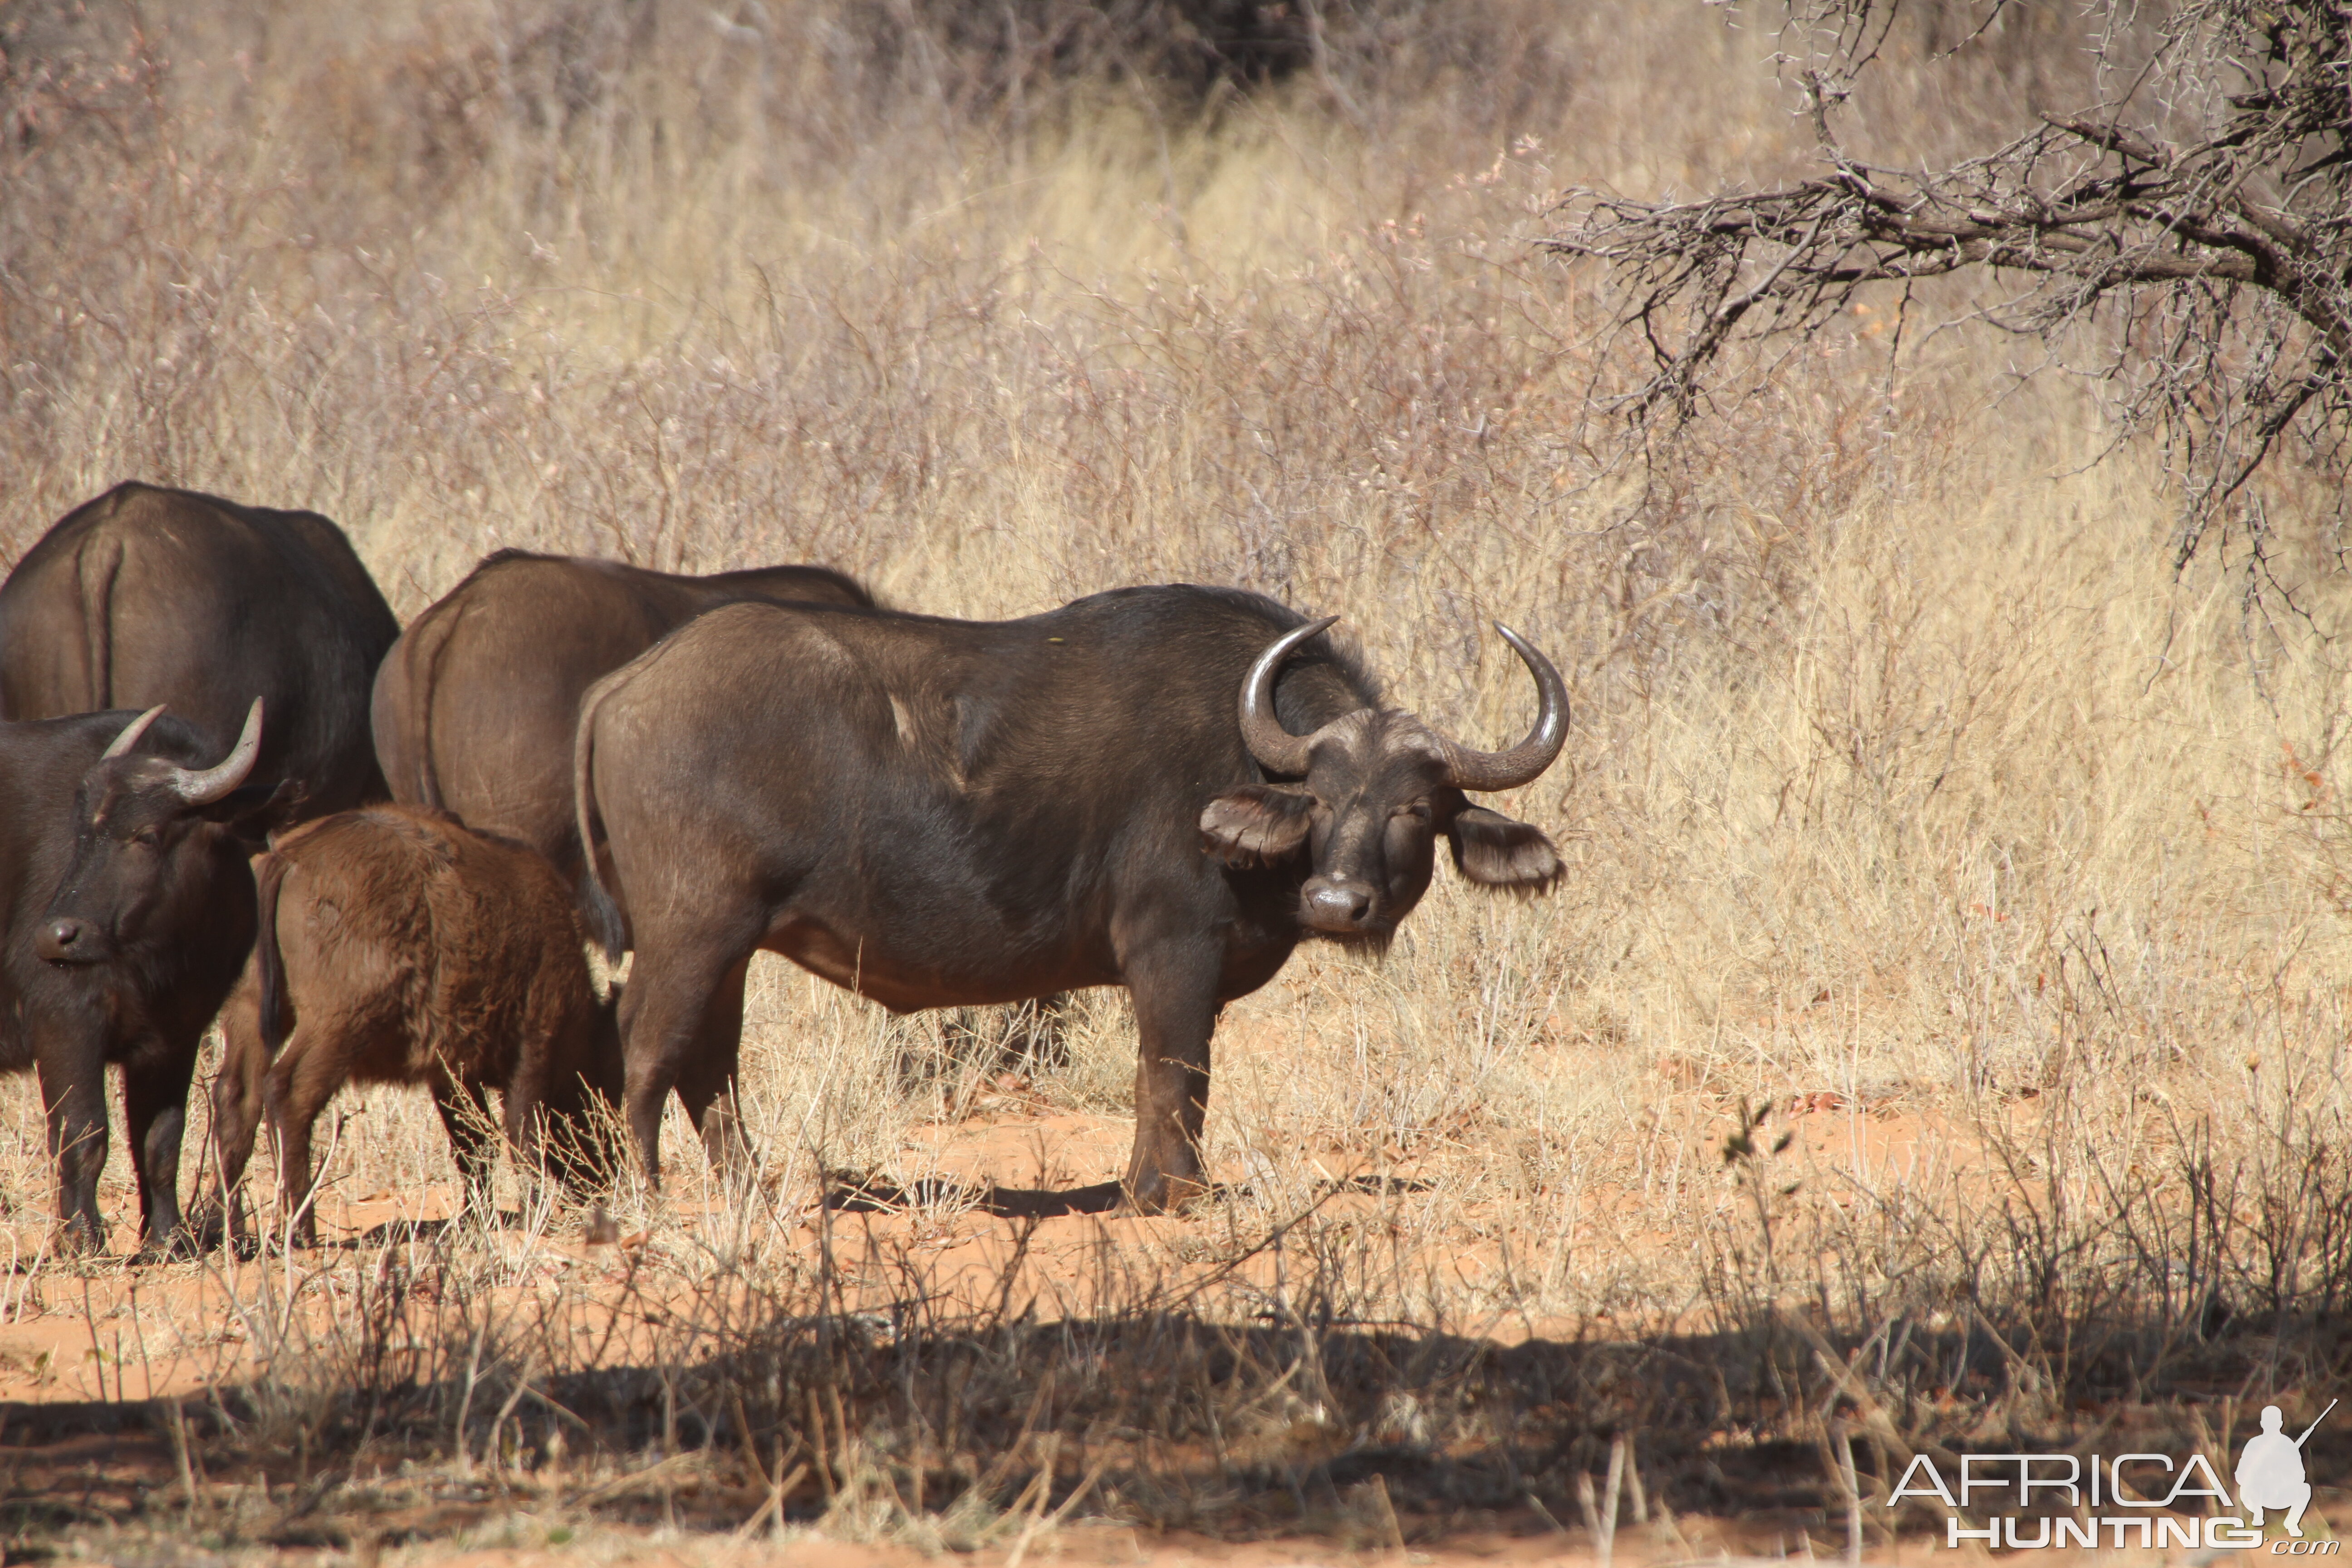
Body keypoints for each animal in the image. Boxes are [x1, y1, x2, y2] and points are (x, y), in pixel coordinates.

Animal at [3, 705, 279, 1260]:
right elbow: (83, 1132)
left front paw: (168, 1238)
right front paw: (82, 1237)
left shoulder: (176, 1035)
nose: (55, 937)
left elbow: (161, 1140)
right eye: (81, 836)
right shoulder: (64, 1023)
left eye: (146, 835)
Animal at [202, 808, 621, 1250]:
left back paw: (225, 1228)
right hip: (340, 1027)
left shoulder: (451, 1074)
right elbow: (523, 1137)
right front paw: (533, 1211)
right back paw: (299, 1230)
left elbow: (474, 1146)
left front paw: (477, 1217)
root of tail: (291, 857)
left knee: (236, 1098)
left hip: (250, 1012)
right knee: (287, 1093)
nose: (606, 1181)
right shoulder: (535, 1044)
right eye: (604, 1097)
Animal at [567, 583, 1562, 1213]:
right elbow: (1174, 1071)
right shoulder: (1172, 954)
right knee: (647, 1048)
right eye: (1318, 798)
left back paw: (747, 1192)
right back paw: (647, 1198)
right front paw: (1166, 1194)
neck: (1238, 755)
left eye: (1413, 807)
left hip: (729, 948)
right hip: (691, 934)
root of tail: (627, 682)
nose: (1336, 900)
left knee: (708, 1065)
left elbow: (1176, 1077)